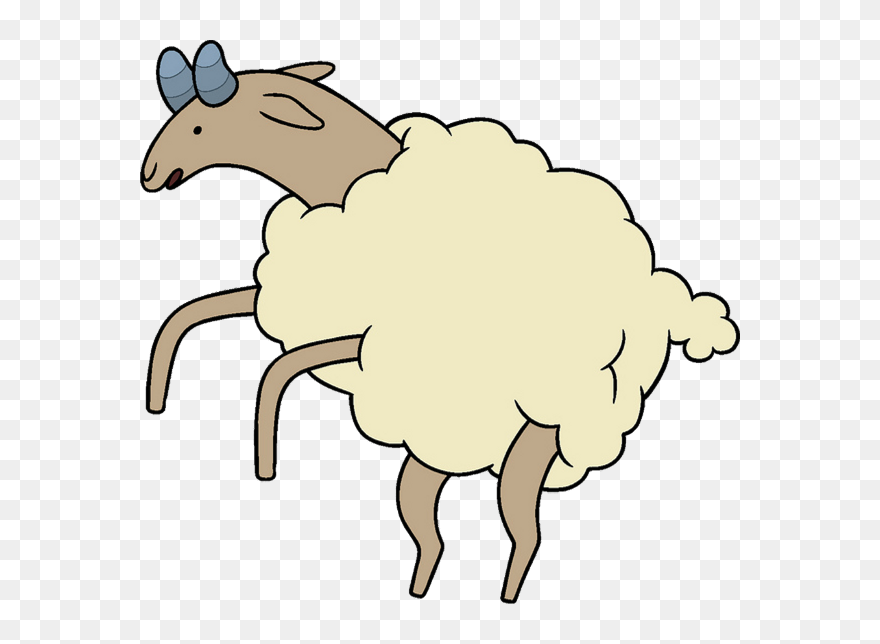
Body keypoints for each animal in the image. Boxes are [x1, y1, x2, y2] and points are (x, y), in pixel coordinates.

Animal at [142, 43, 740, 603]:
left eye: (198, 125)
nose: (148, 174)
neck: (348, 185)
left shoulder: (361, 344)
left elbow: (278, 368)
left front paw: (264, 457)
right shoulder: (287, 310)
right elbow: (190, 314)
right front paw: (158, 400)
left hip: (518, 439)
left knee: (513, 532)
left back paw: (486, 598)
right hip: (443, 450)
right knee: (439, 530)